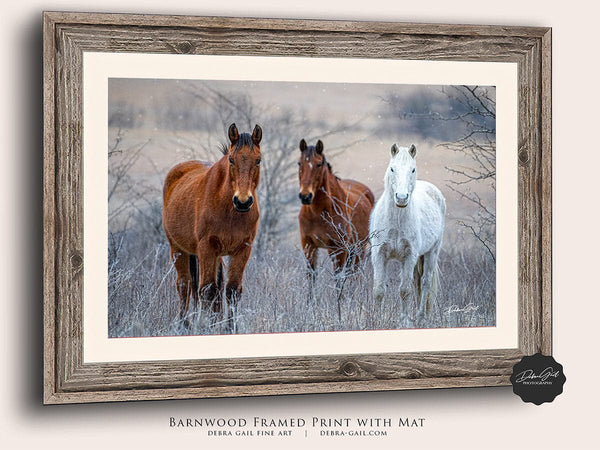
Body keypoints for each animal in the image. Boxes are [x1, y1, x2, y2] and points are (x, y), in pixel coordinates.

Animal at [163, 123, 262, 330]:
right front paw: (207, 327)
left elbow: (232, 290)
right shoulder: (206, 248)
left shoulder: (242, 249)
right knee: (184, 285)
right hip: (178, 249)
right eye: (231, 159)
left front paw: (230, 328)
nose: (242, 202)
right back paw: (185, 324)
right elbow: (206, 290)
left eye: (258, 160)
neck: (230, 211)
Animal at [296, 140, 372, 282]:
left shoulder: (339, 248)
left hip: (359, 248)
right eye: (299, 163)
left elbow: (338, 279)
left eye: (319, 164)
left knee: (354, 274)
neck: (318, 213)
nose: (305, 196)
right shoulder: (308, 246)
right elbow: (311, 277)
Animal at [368, 143, 448, 316]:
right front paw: (375, 319)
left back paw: (421, 316)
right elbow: (378, 291)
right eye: (392, 169)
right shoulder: (378, 255)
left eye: (413, 169)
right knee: (418, 283)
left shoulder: (409, 257)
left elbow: (404, 291)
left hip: (431, 252)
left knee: (425, 282)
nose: (401, 198)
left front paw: (404, 319)